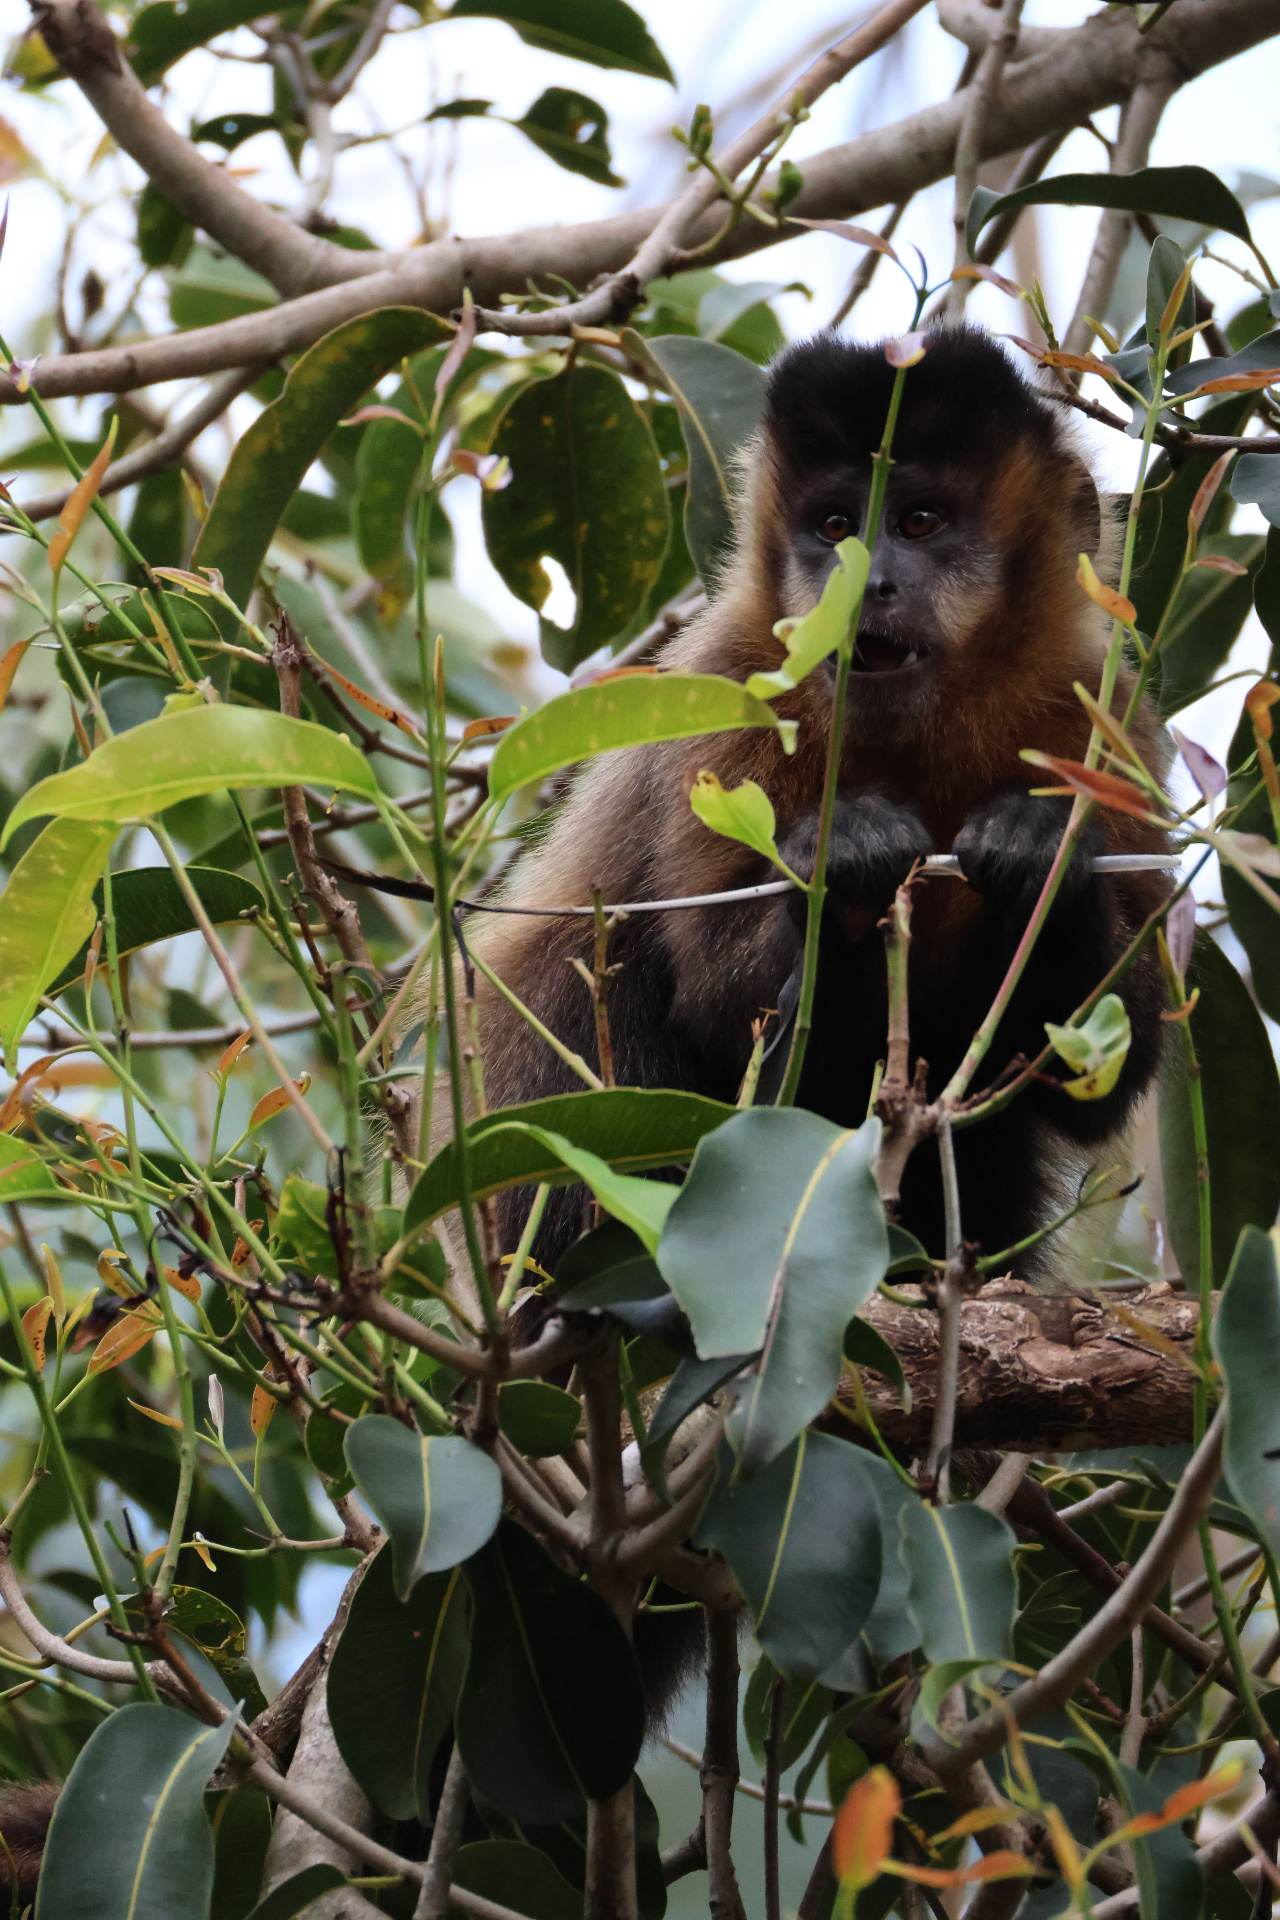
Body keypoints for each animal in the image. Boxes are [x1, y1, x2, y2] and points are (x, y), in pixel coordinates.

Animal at [470, 324, 1170, 1280]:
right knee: (571, 974)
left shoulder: (1105, 720)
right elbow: (724, 1009)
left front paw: (1039, 851)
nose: (865, 579)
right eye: (837, 528)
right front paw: (846, 864)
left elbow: (1097, 1075)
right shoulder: (729, 687)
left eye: (917, 522)